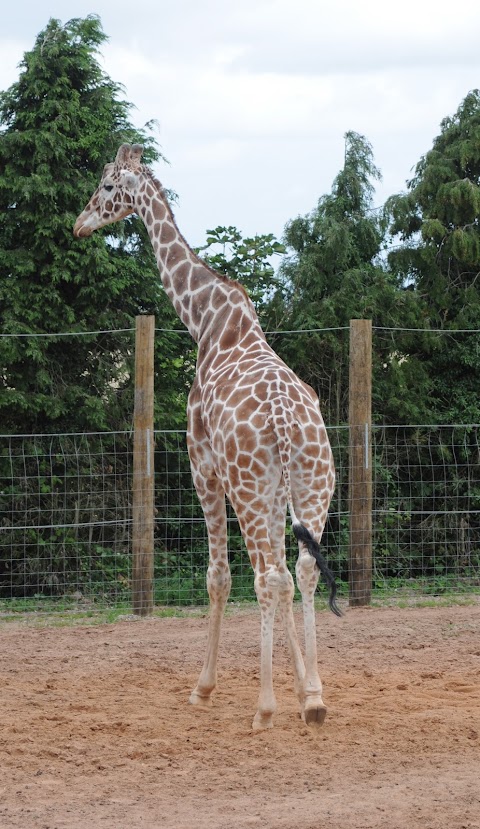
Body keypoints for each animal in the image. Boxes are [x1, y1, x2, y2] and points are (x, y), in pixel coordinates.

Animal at [73, 144, 340, 732]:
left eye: (107, 187)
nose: (79, 223)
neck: (205, 320)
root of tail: (287, 422)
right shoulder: (273, 491)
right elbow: (282, 575)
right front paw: (301, 684)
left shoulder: (204, 467)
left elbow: (219, 576)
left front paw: (205, 688)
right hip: (313, 483)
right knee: (301, 570)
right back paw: (315, 701)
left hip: (248, 486)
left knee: (269, 577)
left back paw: (264, 709)